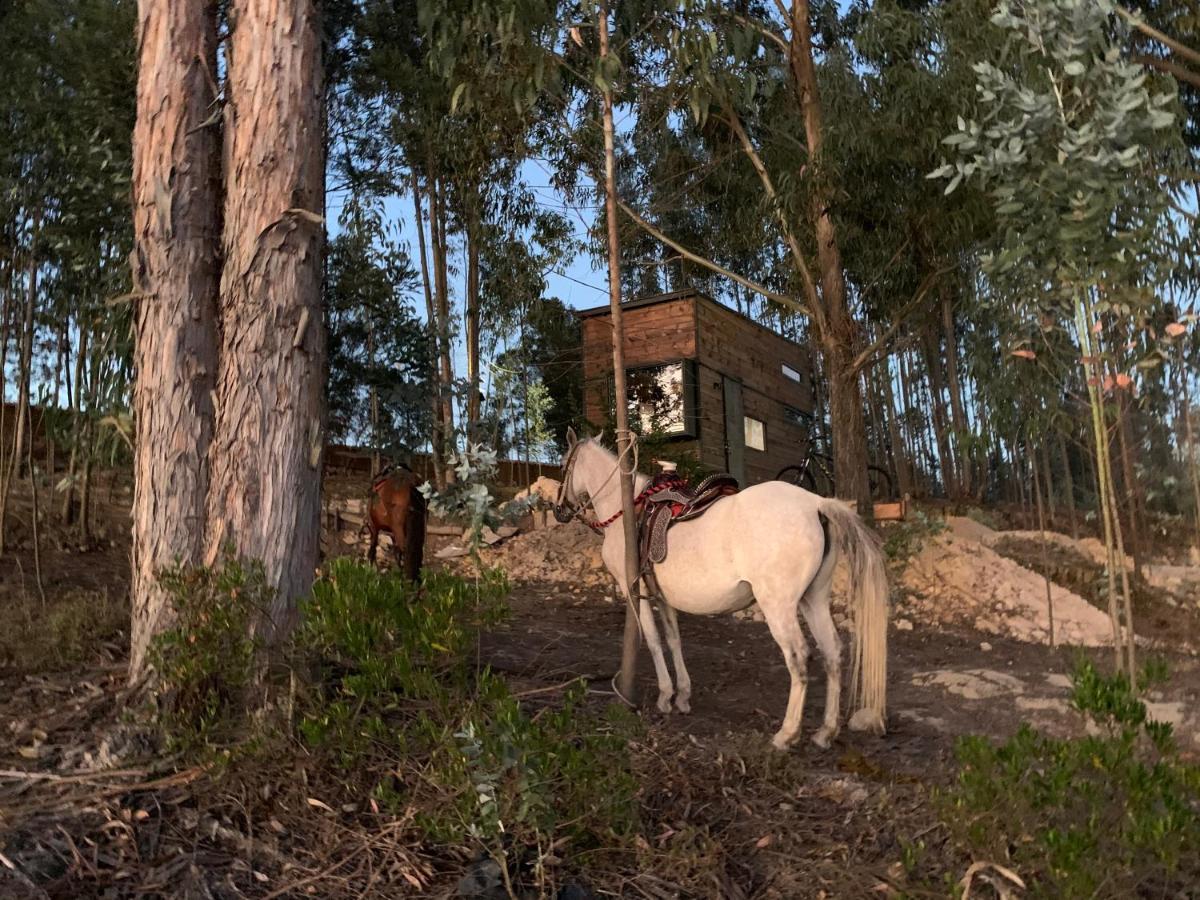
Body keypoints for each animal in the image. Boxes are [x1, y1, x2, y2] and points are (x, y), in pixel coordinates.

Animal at [556, 434, 888, 748]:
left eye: (562, 465)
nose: (559, 510)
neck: (625, 508)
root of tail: (815, 503)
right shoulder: (663, 597)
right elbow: (673, 640)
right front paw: (682, 696)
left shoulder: (632, 589)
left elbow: (652, 641)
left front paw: (665, 696)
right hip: (813, 600)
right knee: (832, 652)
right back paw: (826, 732)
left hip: (778, 607)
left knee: (799, 656)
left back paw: (787, 733)